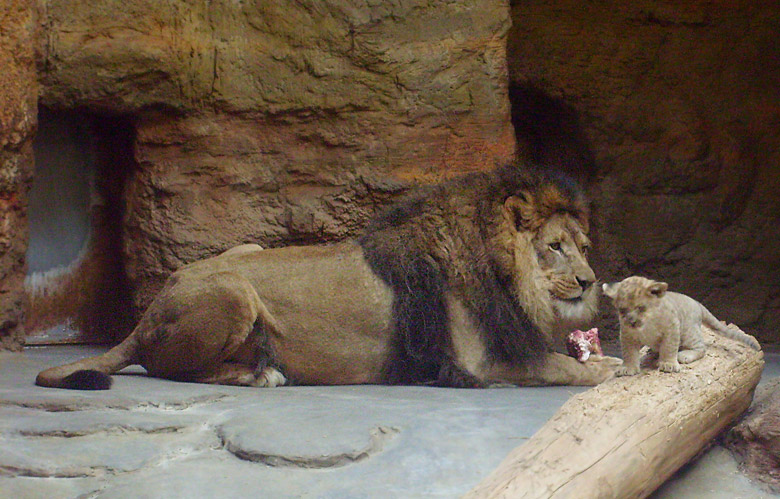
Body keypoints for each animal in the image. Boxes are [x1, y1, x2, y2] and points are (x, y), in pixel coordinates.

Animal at [36, 164, 612, 390]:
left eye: (584, 248)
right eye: (554, 248)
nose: (588, 282)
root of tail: (150, 310)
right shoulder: (473, 363)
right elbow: (560, 366)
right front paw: (609, 372)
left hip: (244, 253)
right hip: (233, 291)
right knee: (175, 371)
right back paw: (260, 374)